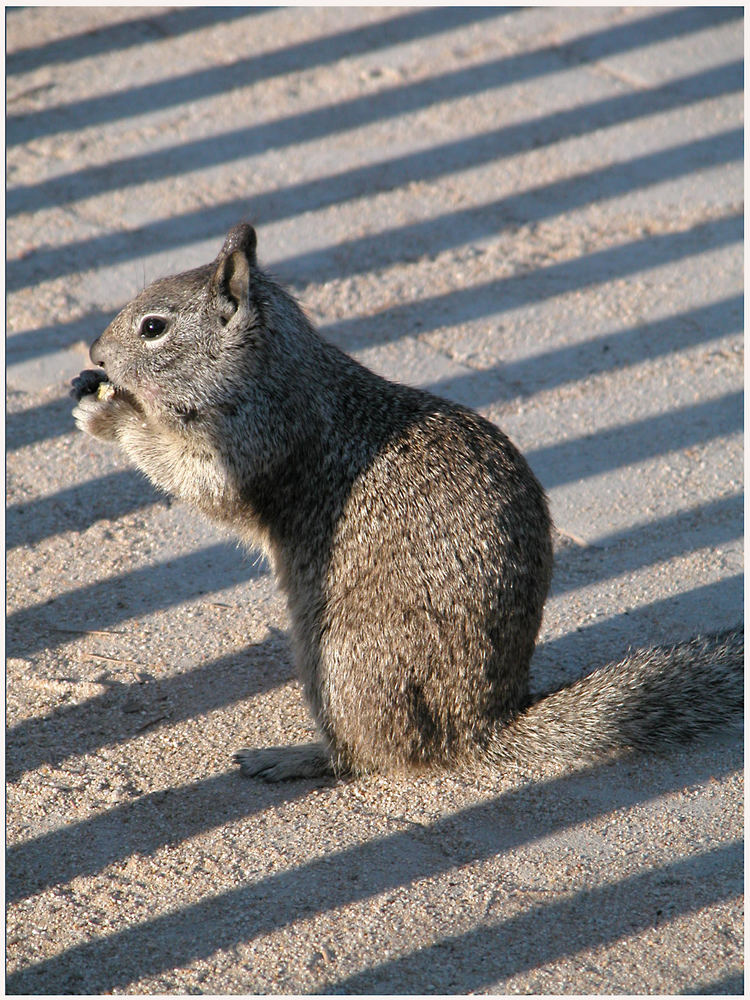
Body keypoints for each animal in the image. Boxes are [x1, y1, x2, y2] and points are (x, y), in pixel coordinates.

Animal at [72, 227, 748, 780]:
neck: (275, 368)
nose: (95, 356)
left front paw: (109, 414)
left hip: (341, 664)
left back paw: (290, 758)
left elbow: (201, 480)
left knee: (367, 757)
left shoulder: (258, 439)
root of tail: (483, 727)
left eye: (153, 327)